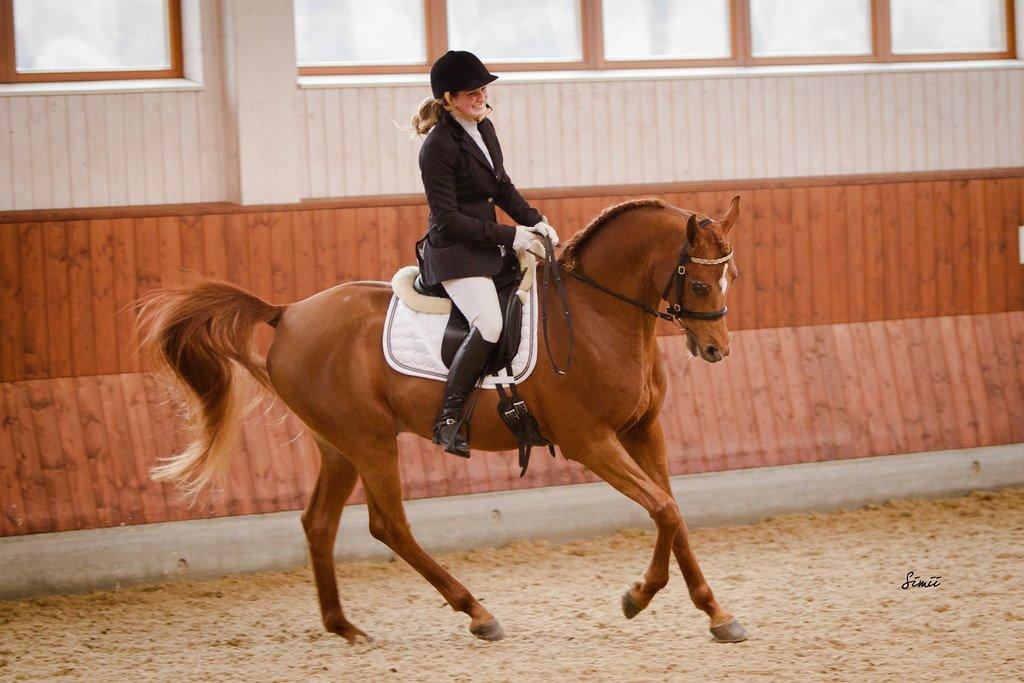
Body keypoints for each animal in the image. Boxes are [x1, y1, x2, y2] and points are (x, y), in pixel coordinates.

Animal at [134, 193, 745, 647]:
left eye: (730, 277)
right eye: (698, 282)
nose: (717, 350)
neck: (598, 314)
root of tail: (287, 314)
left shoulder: (642, 431)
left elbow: (672, 511)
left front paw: (715, 613)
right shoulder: (590, 441)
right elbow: (662, 507)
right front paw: (638, 596)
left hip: (339, 447)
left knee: (319, 524)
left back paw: (345, 627)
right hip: (370, 442)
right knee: (390, 527)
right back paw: (476, 612)